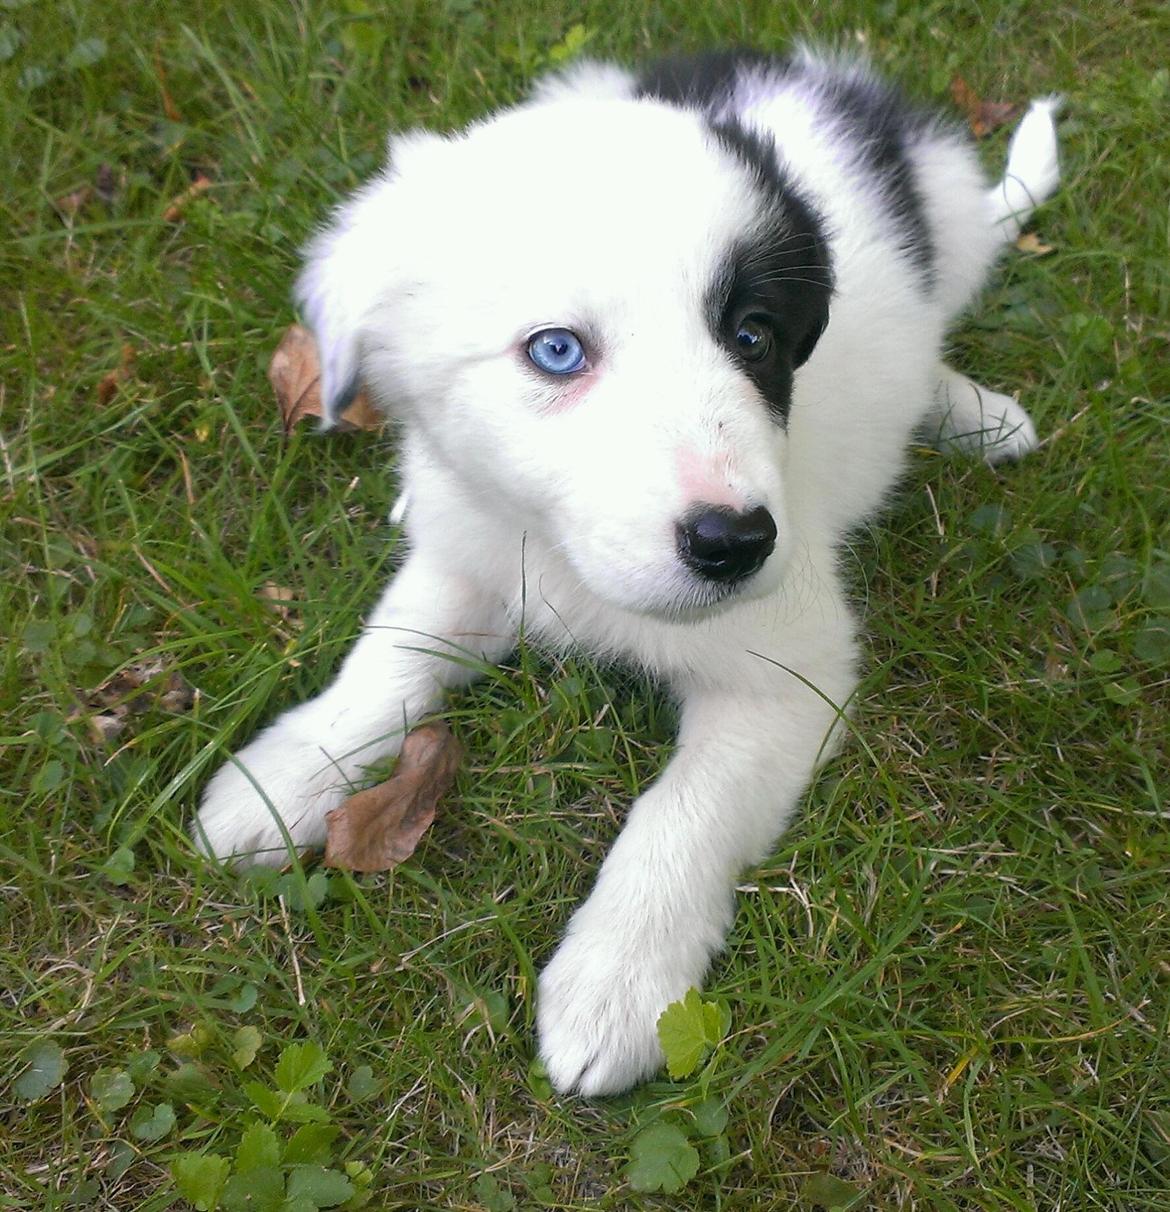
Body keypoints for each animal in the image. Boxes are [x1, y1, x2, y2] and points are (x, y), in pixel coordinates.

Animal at [193, 52, 1057, 1100]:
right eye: (557, 350)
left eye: (754, 336)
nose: (735, 542)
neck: (566, 565)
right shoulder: (475, 553)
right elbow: (386, 661)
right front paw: (282, 776)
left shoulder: (789, 674)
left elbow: (682, 812)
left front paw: (616, 984)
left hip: (948, 218)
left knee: (933, 338)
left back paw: (974, 415)